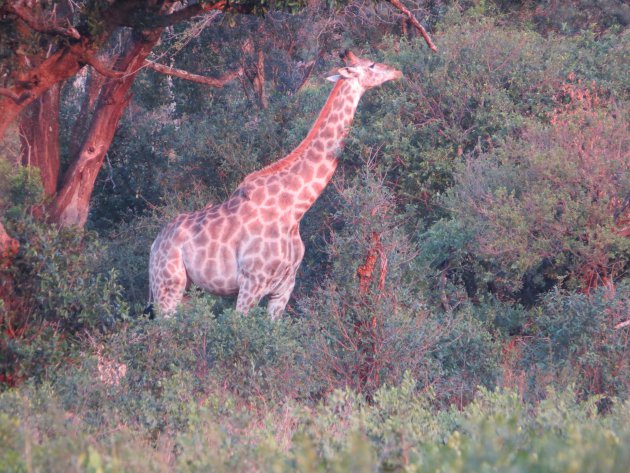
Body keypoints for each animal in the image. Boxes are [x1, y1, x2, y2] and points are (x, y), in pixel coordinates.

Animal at [151, 50, 402, 318]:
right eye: (371, 64)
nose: (397, 71)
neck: (295, 209)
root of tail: (154, 245)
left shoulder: (284, 289)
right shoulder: (251, 284)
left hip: (186, 290)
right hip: (168, 286)